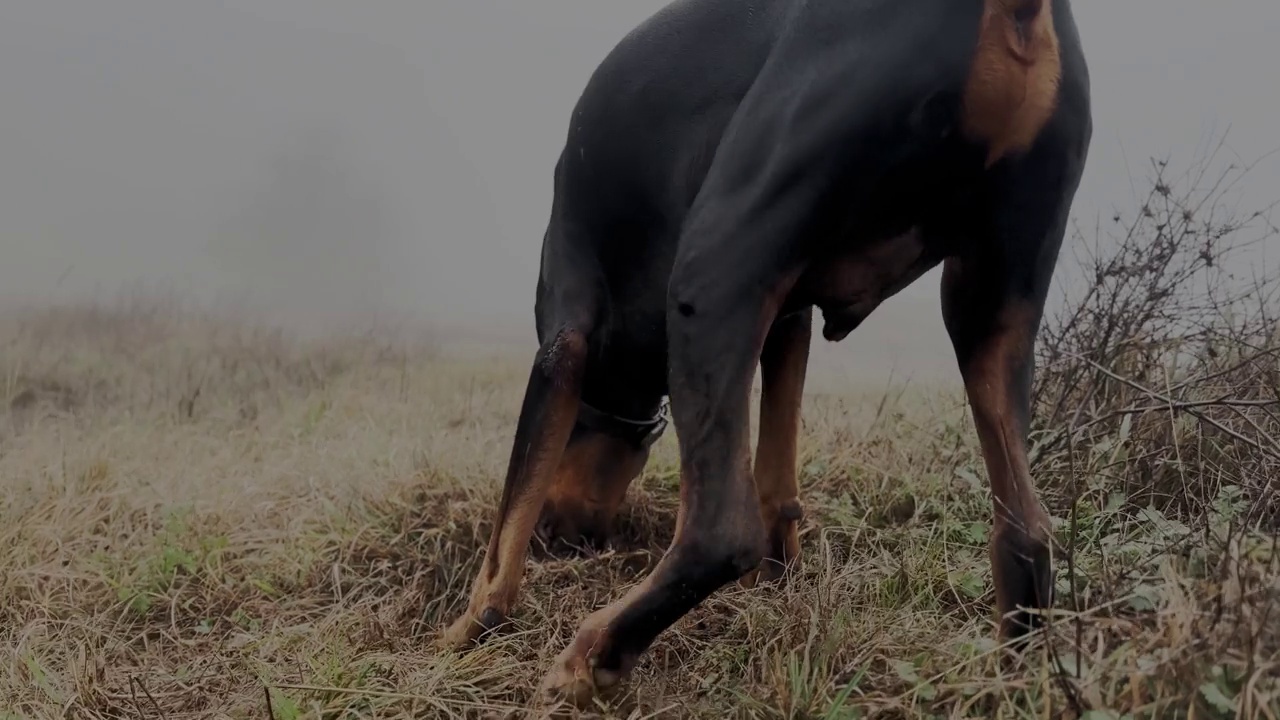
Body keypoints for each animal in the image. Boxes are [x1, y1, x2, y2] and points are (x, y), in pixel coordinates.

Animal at [440, 0, 1090, 707]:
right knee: (1027, 530)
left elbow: (505, 537)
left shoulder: (564, 338)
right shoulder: (787, 314)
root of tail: (1013, 11)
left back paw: (593, 656)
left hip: (712, 267)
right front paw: (779, 585)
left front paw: (460, 636)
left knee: (720, 533)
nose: (566, 539)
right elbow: (778, 483)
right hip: (990, 303)